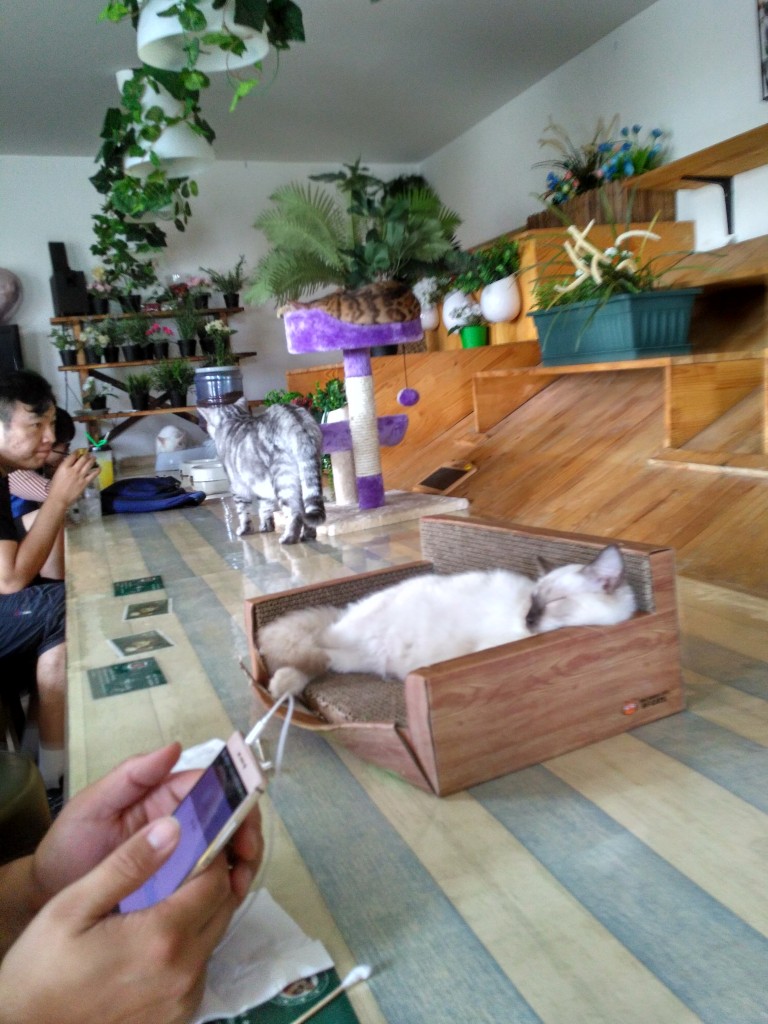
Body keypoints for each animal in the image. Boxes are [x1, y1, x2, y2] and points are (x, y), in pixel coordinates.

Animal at [198, 397, 325, 544]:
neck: (233, 418)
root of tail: (295, 419)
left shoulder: (237, 486)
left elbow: (243, 511)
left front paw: (244, 530)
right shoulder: (261, 485)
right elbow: (265, 508)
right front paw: (266, 527)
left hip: (283, 479)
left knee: (295, 512)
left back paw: (288, 538)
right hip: (308, 473)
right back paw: (308, 535)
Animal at [259, 544, 638, 704]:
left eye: (554, 603)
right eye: (533, 601)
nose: (528, 619)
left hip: (356, 658)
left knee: (319, 660)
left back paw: (282, 687)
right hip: (345, 636)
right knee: (306, 648)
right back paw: (280, 686)